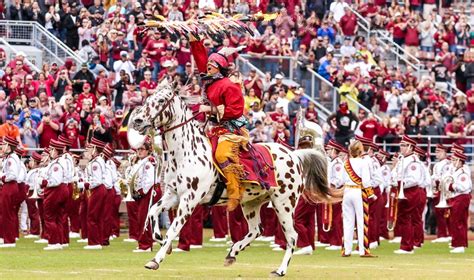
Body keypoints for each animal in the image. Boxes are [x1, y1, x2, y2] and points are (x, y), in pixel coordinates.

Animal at [127, 79, 334, 278]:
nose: (137, 121)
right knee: (256, 230)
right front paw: (163, 243)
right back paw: (233, 252)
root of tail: (295, 155)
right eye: (148, 99)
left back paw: (280, 270)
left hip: (284, 204)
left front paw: (155, 259)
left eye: (162, 100)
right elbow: (152, 212)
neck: (185, 152)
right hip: (251, 203)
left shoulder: (189, 199)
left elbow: (172, 229)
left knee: (291, 236)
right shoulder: (173, 195)